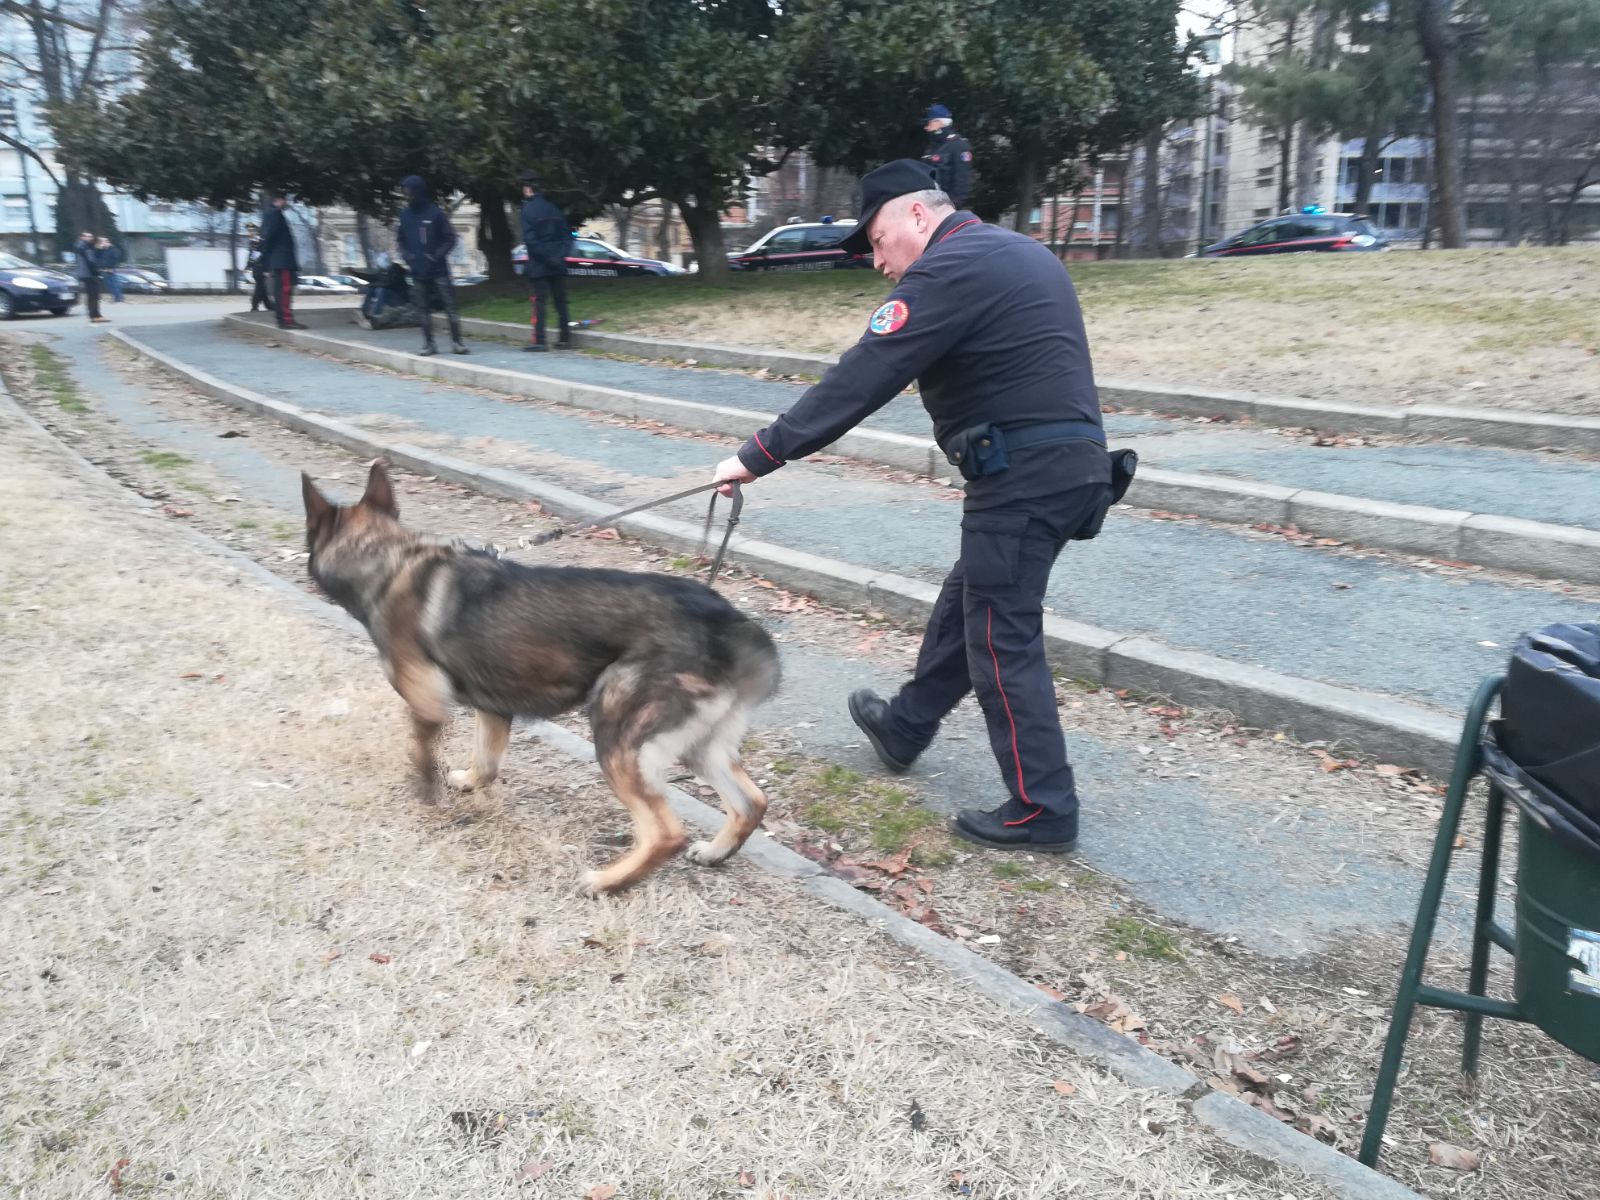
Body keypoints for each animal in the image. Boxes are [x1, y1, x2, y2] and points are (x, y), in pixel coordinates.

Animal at [300, 464, 780, 896]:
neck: (390, 560)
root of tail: (733, 626)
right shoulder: (493, 709)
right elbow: (487, 763)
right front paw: (469, 783)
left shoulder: (427, 705)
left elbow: (421, 754)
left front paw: (425, 797)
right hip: (698, 746)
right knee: (752, 802)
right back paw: (715, 852)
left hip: (617, 736)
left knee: (666, 832)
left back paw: (608, 882)